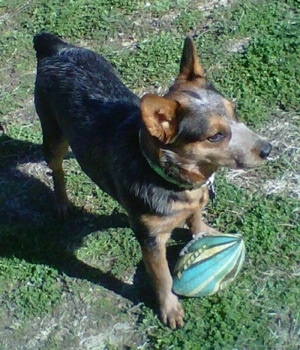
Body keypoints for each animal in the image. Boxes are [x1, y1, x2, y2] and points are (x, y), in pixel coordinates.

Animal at [32, 32, 272, 328]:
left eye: (235, 112)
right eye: (215, 136)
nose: (268, 149)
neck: (170, 177)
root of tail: (56, 47)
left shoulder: (193, 202)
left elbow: (195, 217)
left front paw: (204, 232)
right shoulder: (151, 241)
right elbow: (163, 277)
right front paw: (169, 309)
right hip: (54, 137)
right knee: (56, 170)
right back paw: (62, 202)